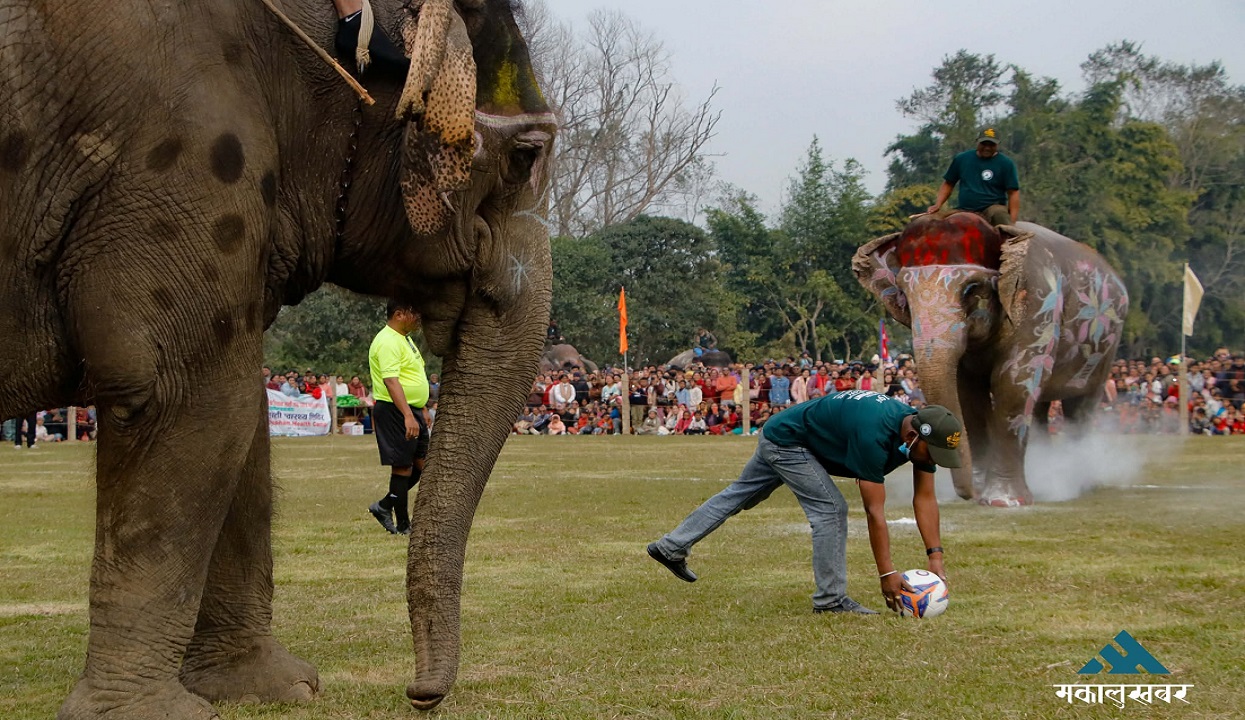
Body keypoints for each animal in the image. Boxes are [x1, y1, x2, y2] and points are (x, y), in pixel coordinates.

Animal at [0, 0, 554, 716]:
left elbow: (240, 424)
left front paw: (272, 686)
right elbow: (184, 400)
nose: (419, 693)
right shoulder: (185, 162)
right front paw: (154, 712)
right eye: (523, 157)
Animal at [853, 213, 1127, 506]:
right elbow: (967, 393)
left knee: (1080, 407)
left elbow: (1014, 384)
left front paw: (1003, 501)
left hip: (1105, 347)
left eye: (972, 289)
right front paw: (980, 492)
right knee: (1041, 406)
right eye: (904, 292)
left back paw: (1078, 483)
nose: (967, 494)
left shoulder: (1038, 306)